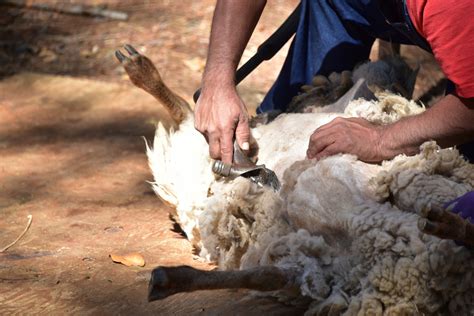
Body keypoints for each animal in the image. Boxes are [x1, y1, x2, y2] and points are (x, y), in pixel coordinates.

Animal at [115, 45, 474, 316]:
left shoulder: (318, 267)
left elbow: (265, 276)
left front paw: (167, 280)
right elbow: (265, 276)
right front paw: (166, 280)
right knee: (190, 116)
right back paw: (139, 67)